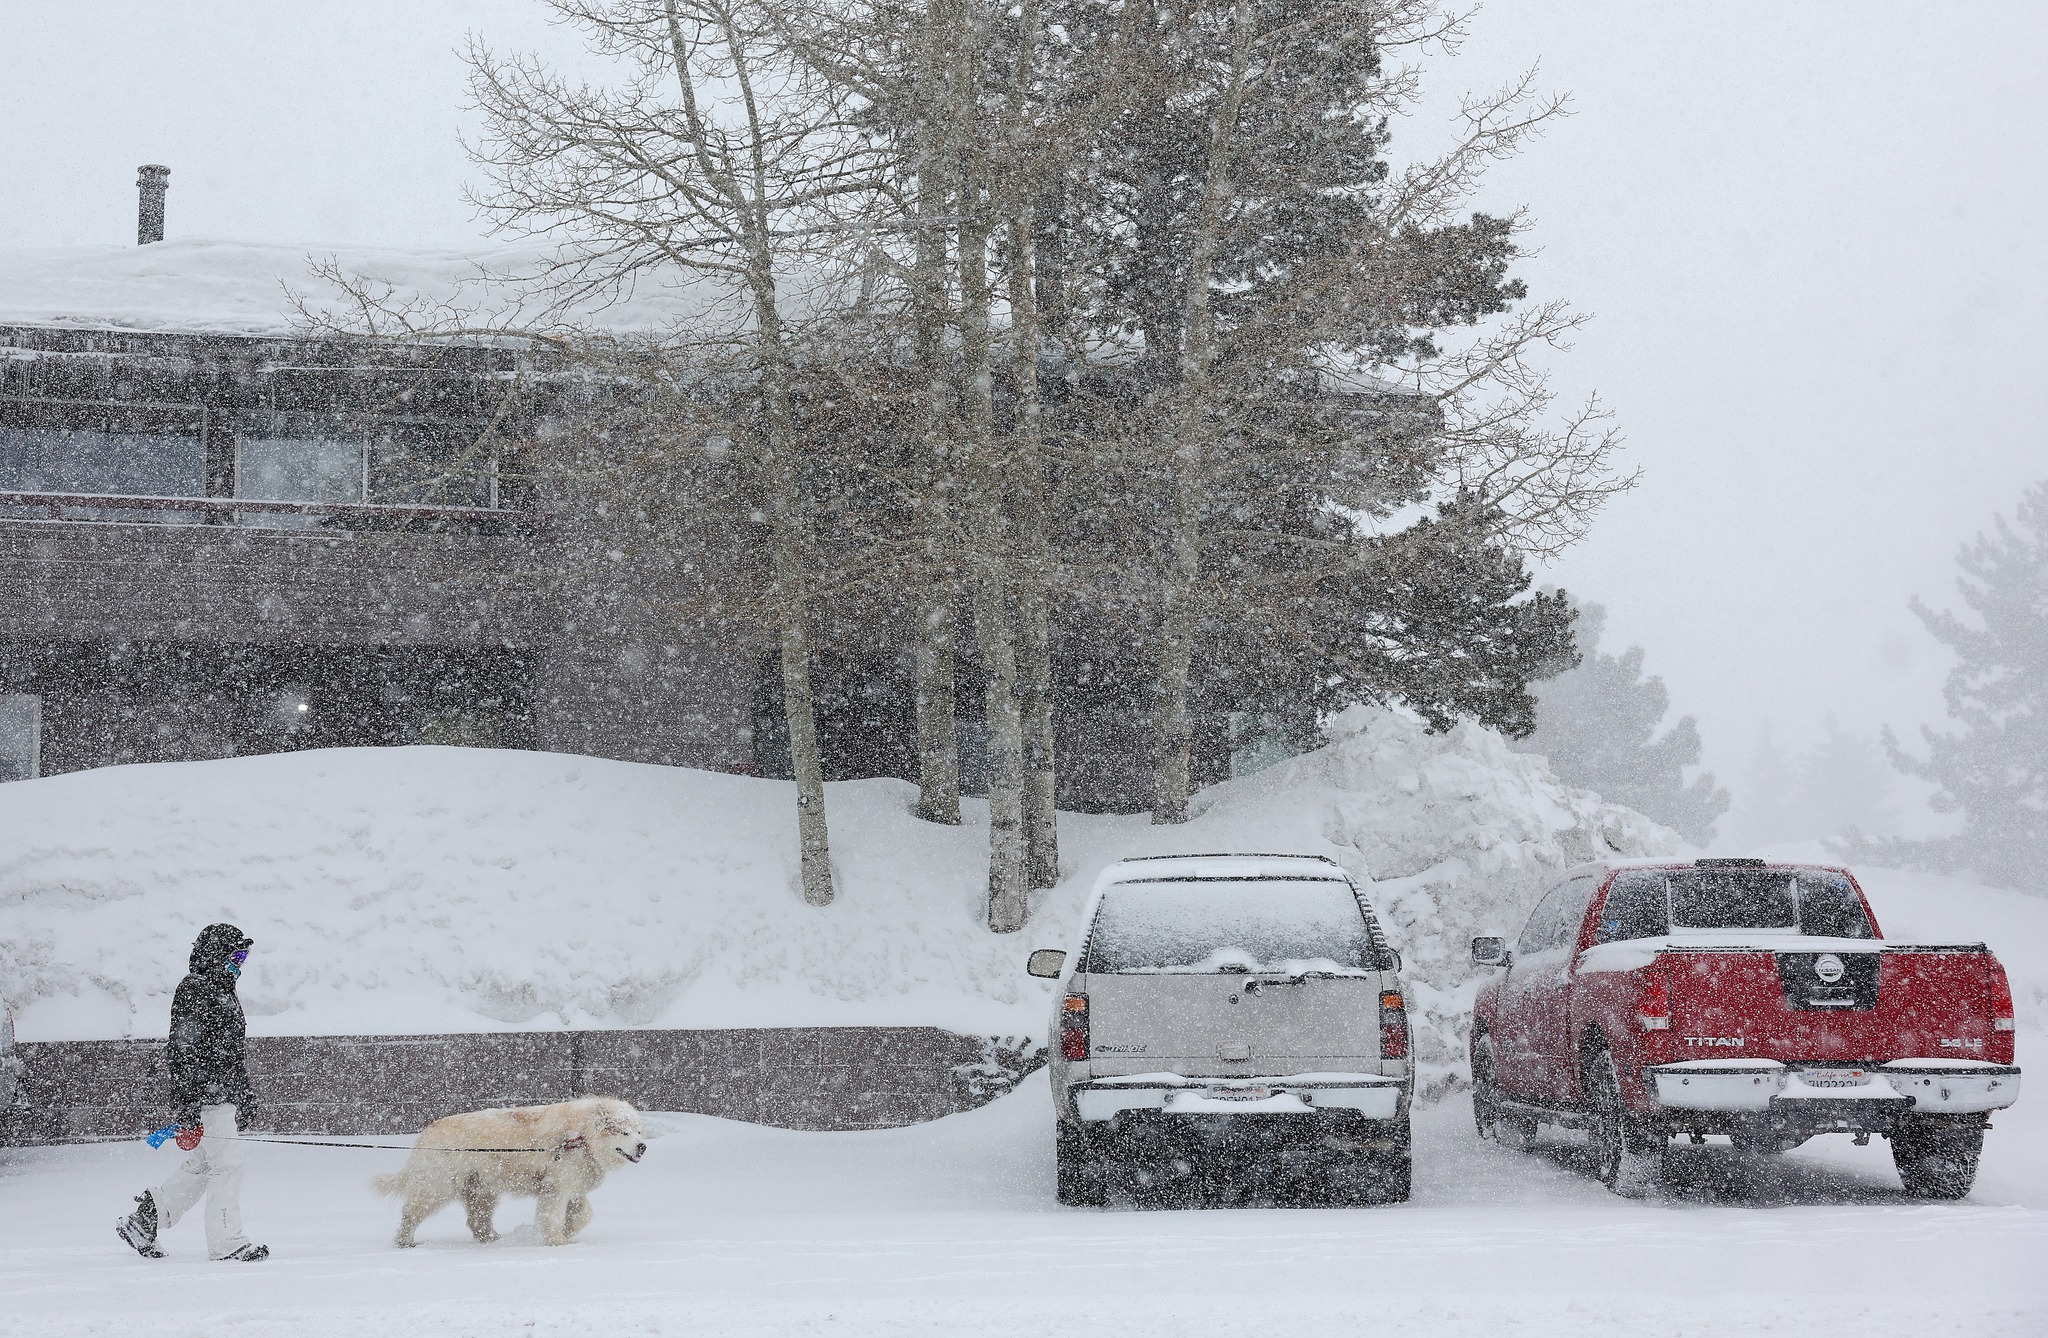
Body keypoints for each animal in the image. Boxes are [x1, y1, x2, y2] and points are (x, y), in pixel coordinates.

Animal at [376, 1090, 647, 1245]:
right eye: (625, 1133)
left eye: (639, 1131)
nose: (642, 1146)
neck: (582, 1136)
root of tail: (426, 1132)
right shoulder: (557, 1187)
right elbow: (554, 1215)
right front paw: (558, 1240)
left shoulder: (572, 1184)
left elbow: (585, 1212)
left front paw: (569, 1230)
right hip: (437, 1187)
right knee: (411, 1213)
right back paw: (405, 1241)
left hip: (481, 1191)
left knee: (477, 1220)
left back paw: (492, 1240)